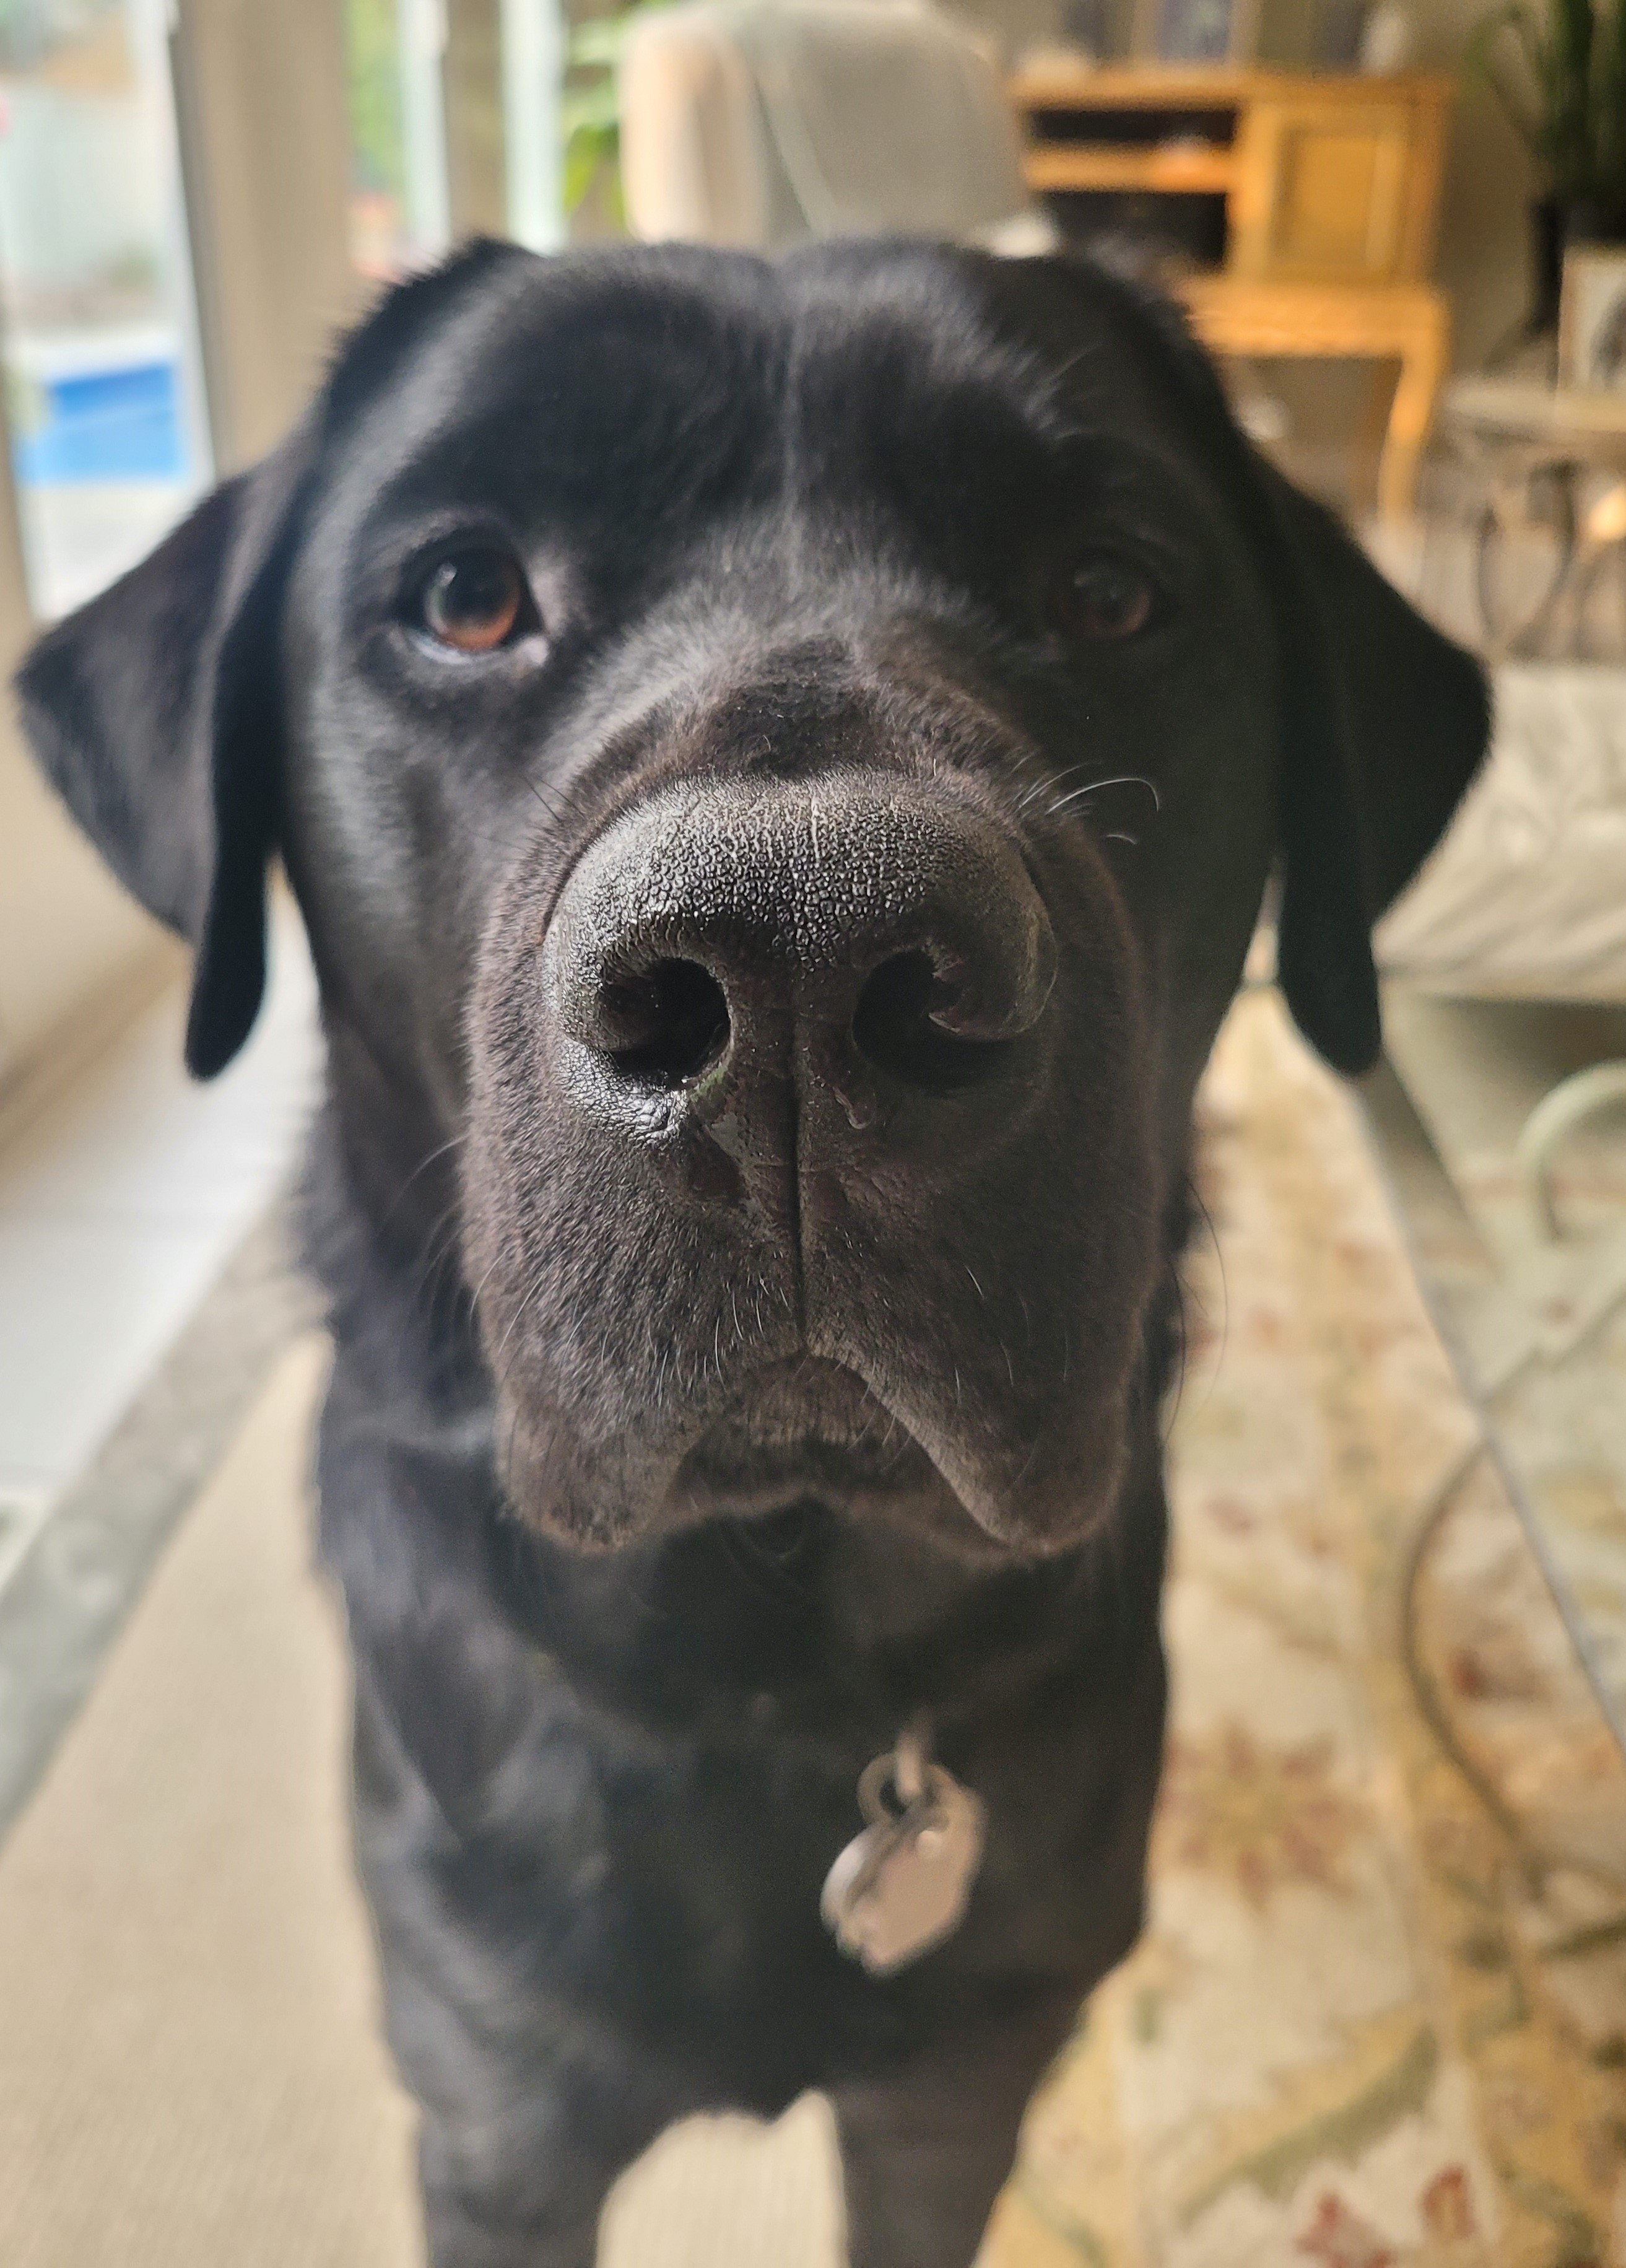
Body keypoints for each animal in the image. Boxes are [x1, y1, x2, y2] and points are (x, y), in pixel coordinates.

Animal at [18, 238, 1488, 2268]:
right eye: (466, 597)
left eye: (1109, 587)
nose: (798, 954)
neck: (769, 1673)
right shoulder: (497, 2120)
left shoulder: (962, 2087)